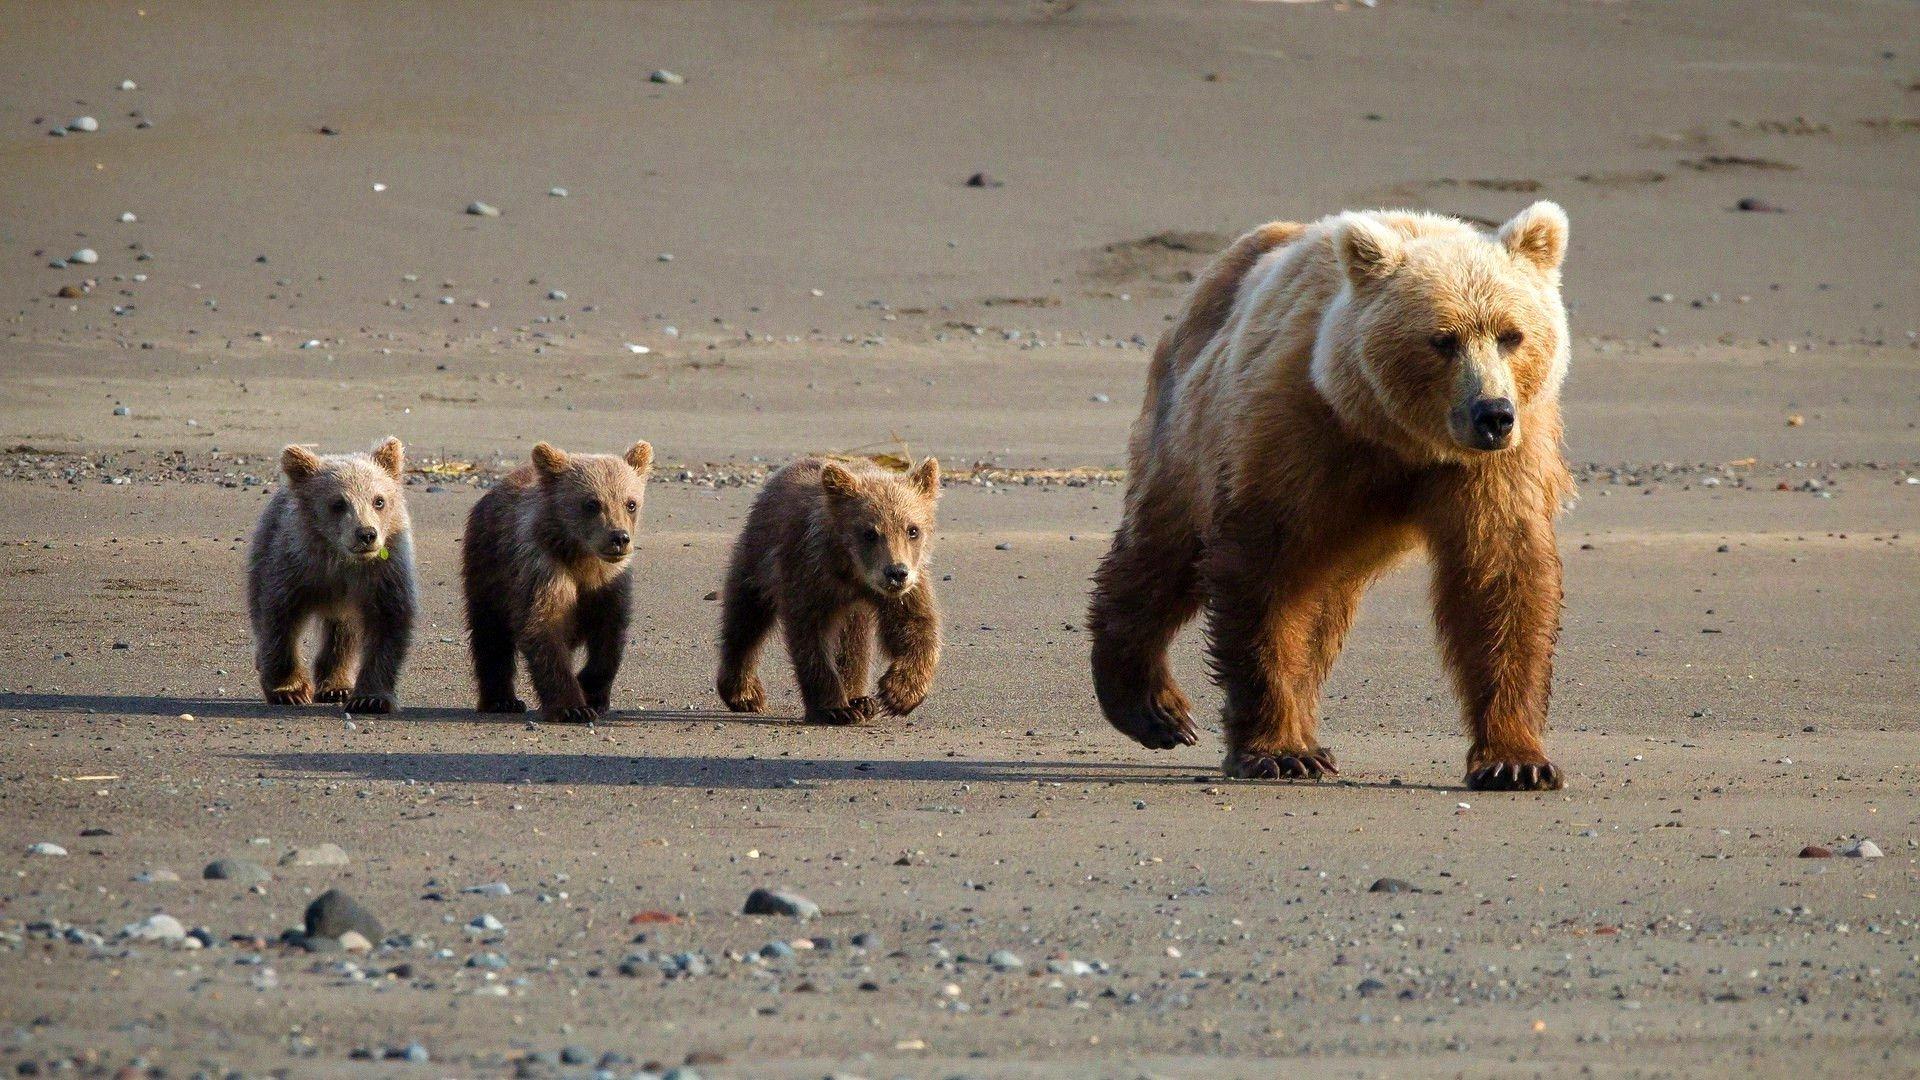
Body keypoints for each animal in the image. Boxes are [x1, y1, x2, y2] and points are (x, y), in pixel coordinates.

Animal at [247, 436, 417, 713]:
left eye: (379, 500)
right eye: (338, 503)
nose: (366, 534)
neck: (341, 561)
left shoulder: (383, 575)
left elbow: (388, 623)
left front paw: (370, 698)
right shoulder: (295, 568)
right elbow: (279, 620)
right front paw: (290, 691)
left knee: (342, 634)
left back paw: (336, 686)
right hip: (263, 551)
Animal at [461, 440, 653, 723]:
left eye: (630, 503)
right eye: (592, 503)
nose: (619, 538)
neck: (583, 558)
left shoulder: (610, 583)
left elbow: (610, 635)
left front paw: (592, 692)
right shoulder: (543, 570)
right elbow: (544, 626)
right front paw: (573, 707)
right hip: (489, 570)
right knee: (491, 635)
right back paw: (501, 700)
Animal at [716, 456, 942, 725]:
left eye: (912, 530)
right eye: (869, 532)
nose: (896, 573)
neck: (853, 573)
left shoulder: (907, 586)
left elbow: (914, 625)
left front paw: (899, 693)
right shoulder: (809, 574)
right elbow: (811, 638)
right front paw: (834, 708)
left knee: (852, 639)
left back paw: (859, 700)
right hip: (758, 558)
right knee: (746, 619)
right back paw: (744, 693)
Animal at [1086, 202, 1575, 791]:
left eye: (1511, 334)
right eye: (1443, 338)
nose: (1493, 414)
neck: (1396, 436)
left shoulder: (1496, 465)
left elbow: (1499, 575)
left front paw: (1517, 760)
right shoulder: (1295, 434)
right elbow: (1266, 578)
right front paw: (1279, 751)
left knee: (1319, 606)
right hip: (1188, 425)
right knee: (1165, 553)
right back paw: (1154, 707)